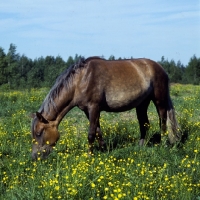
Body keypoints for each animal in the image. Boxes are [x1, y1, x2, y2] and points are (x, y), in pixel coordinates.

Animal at [30, 56, 181, 159]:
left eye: (39, 133)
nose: (34, 157)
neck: (81, 80)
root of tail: (160, 68)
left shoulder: (94, 108)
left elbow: (91, 133)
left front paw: (90, 156)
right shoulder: (88, 111)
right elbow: (98, 131)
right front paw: (103, 149)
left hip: (159, 101)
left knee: (163, 121)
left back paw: (163, 144)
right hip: (142, 104)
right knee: (144, 124)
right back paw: (141, 146)